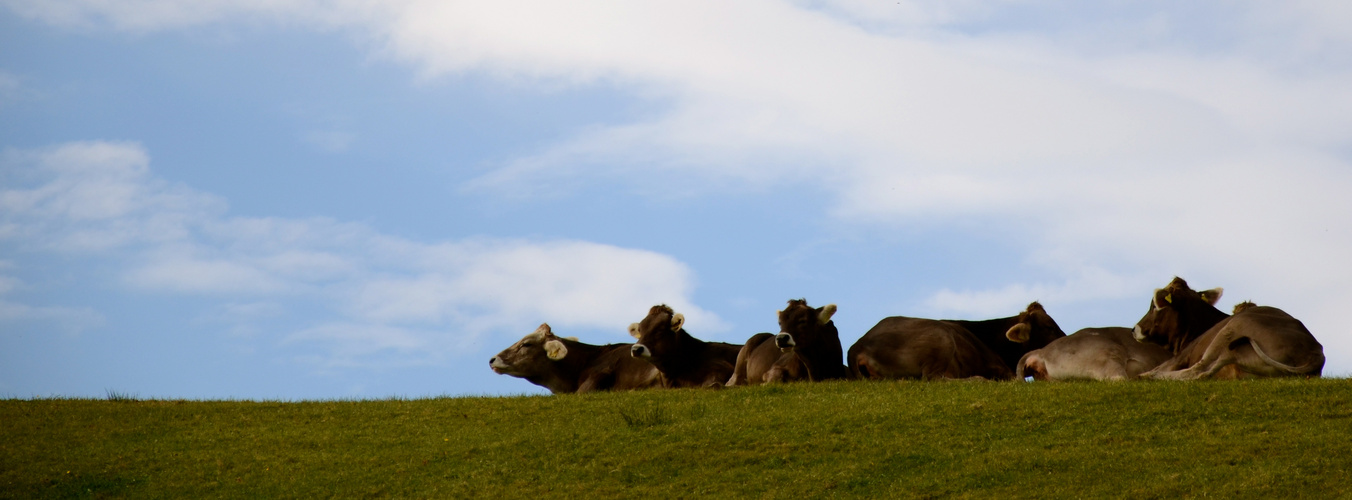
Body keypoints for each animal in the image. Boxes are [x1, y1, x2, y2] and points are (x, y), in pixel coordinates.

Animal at [1130, 277, 1330, 378]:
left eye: (1154, 305)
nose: (1134, 329)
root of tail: (1316, 353)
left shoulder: (1180, 357)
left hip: (1232, 330)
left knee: (1199, 372)